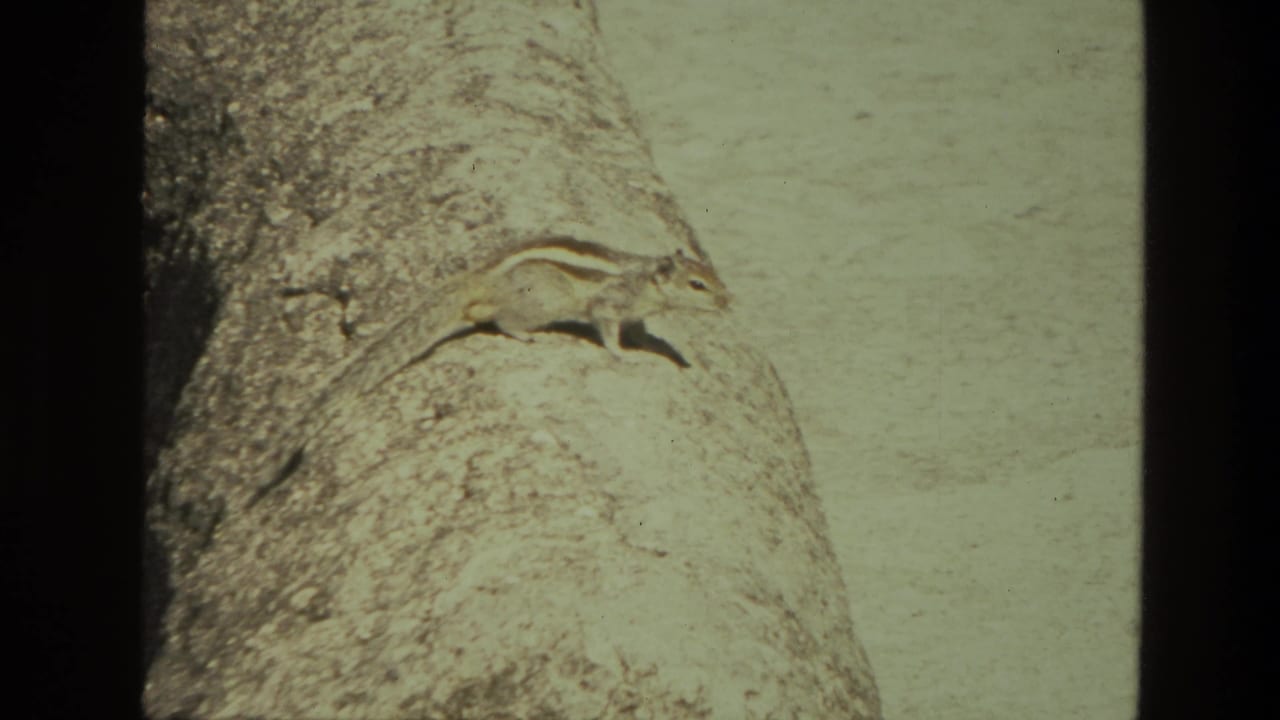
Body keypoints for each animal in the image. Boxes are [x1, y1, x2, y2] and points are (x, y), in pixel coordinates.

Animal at [249, 236, 732, 505]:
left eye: (713, 275)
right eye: (697, 285)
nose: (729, 303)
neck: (644, 279)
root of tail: (479, 278)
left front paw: (645, 342)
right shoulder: (607, 306)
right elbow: (608, 332)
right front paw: (623, 354)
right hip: (541, 301)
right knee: (503, 319)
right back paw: (525, 336)